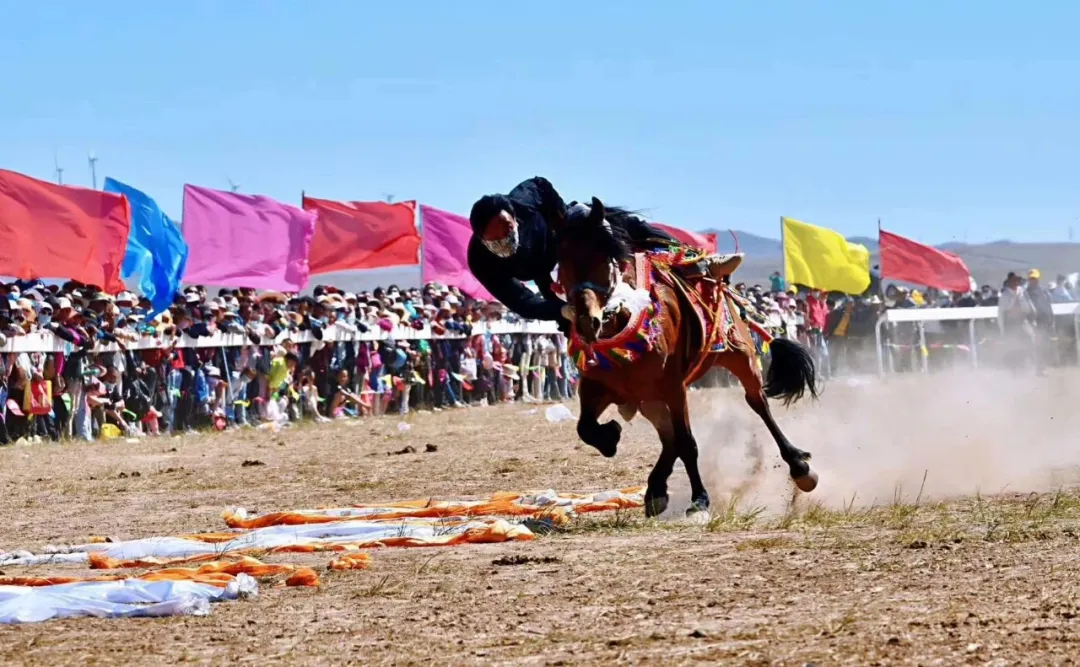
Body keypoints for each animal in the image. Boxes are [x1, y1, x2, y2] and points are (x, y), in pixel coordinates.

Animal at [554, 197, 819, 517]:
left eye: (604, 259)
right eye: (562, 261)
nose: (586, 322)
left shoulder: (674, 387)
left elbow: (687, 442)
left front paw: (700, 499)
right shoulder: (595, 387)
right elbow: (586, 429)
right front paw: (611, 436)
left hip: (740, 357)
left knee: (758, 405)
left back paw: (799, 466)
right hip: (649, 399)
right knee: (668, 439)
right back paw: (655, 490)